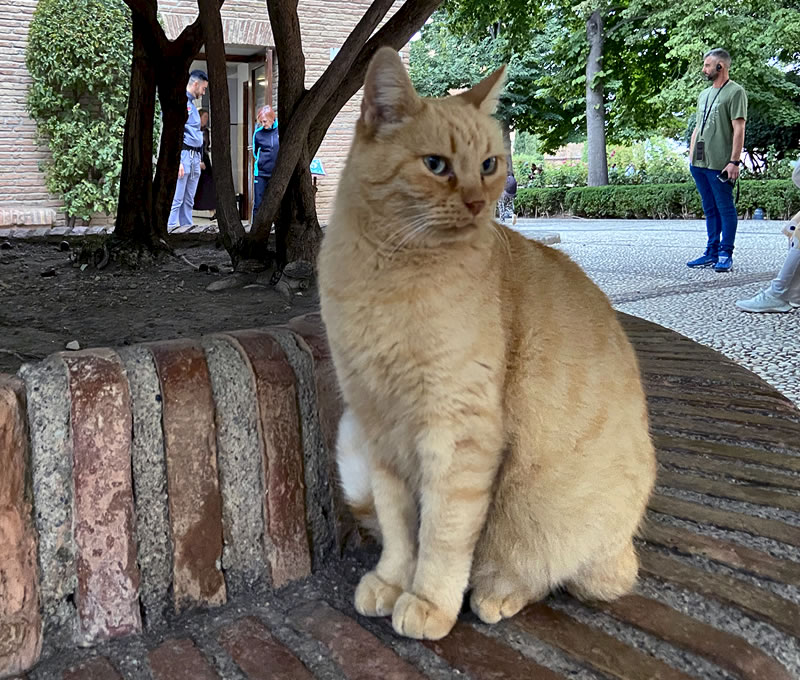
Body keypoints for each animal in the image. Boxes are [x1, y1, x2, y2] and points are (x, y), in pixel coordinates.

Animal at [318, 49, 656, 644]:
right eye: (436, 165)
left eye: (491, 164)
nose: (478, 202)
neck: (389, 272)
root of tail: (624, 548)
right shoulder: (379, 429)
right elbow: (399, 527)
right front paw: (393, 580)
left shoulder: (458, 433)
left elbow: (443, 533)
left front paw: (428, 600)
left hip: (544, 514)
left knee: (540, 570)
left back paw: (496, 593)